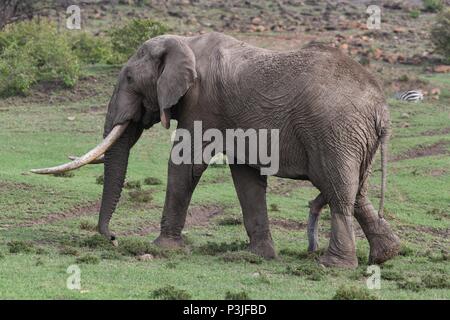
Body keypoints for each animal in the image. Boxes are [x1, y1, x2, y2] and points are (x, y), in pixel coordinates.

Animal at [33, 31, 402, 268]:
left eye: (128, 80)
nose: (113, 238)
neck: (185, 42)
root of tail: (381, 108)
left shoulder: (202, 103)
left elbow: (185, 164)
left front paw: (163, 248)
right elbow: (246, 178)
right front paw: (257, 257)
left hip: (333, 132)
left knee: (338, 191)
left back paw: (332, 266)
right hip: (353, 137)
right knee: (355, 193)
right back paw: (385, 255)